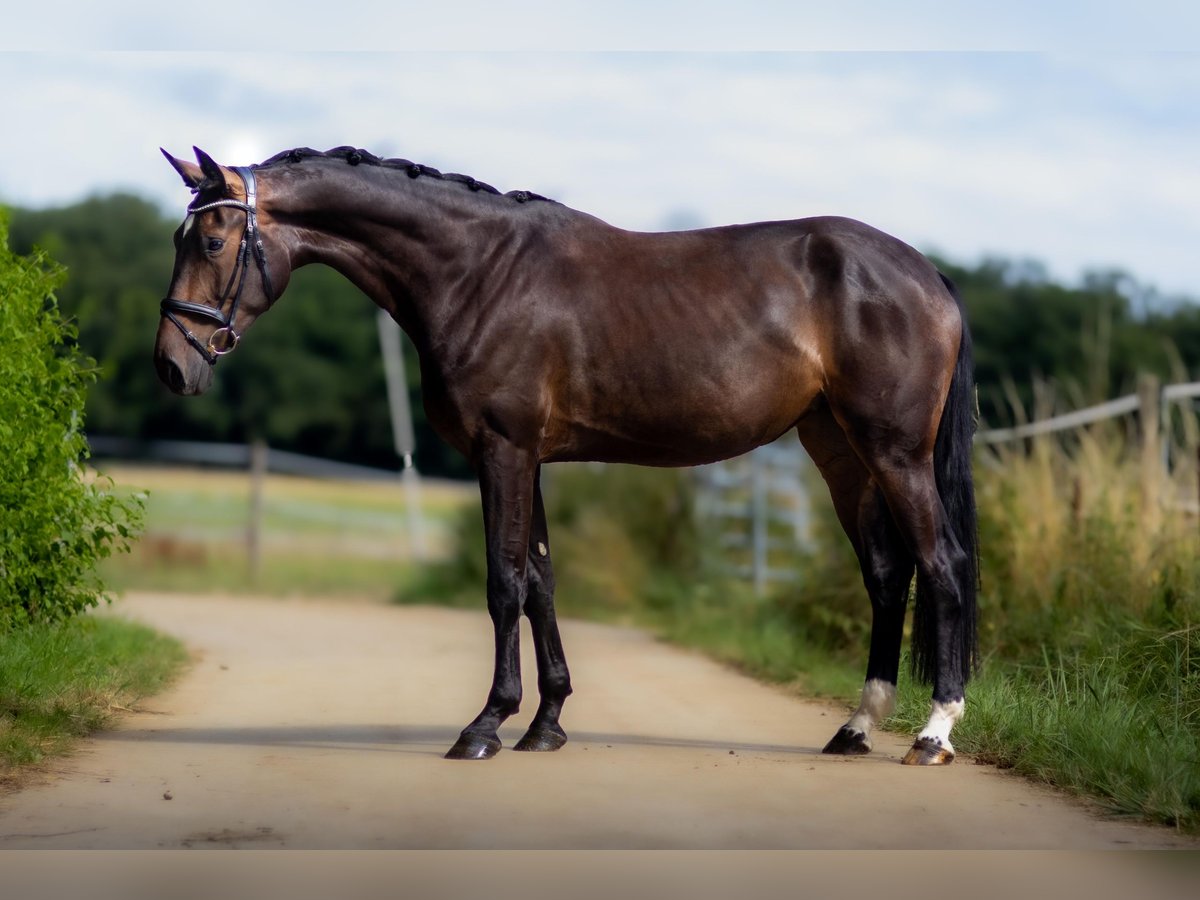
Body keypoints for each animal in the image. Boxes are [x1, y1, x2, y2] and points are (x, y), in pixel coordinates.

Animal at [154, 144, 979, 763]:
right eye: (180, 240)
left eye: (214, 241)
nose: (170, 366)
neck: (478, 272)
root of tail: (926, 273)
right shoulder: (531, 458)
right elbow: (542, 583)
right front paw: (546, 724)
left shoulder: (503, 450)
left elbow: (503, 583)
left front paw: (486, 725)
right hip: (841, 453)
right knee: (887, 576)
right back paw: (856, 727)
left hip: (895, 453)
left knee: (940, 566)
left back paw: (934, 733)